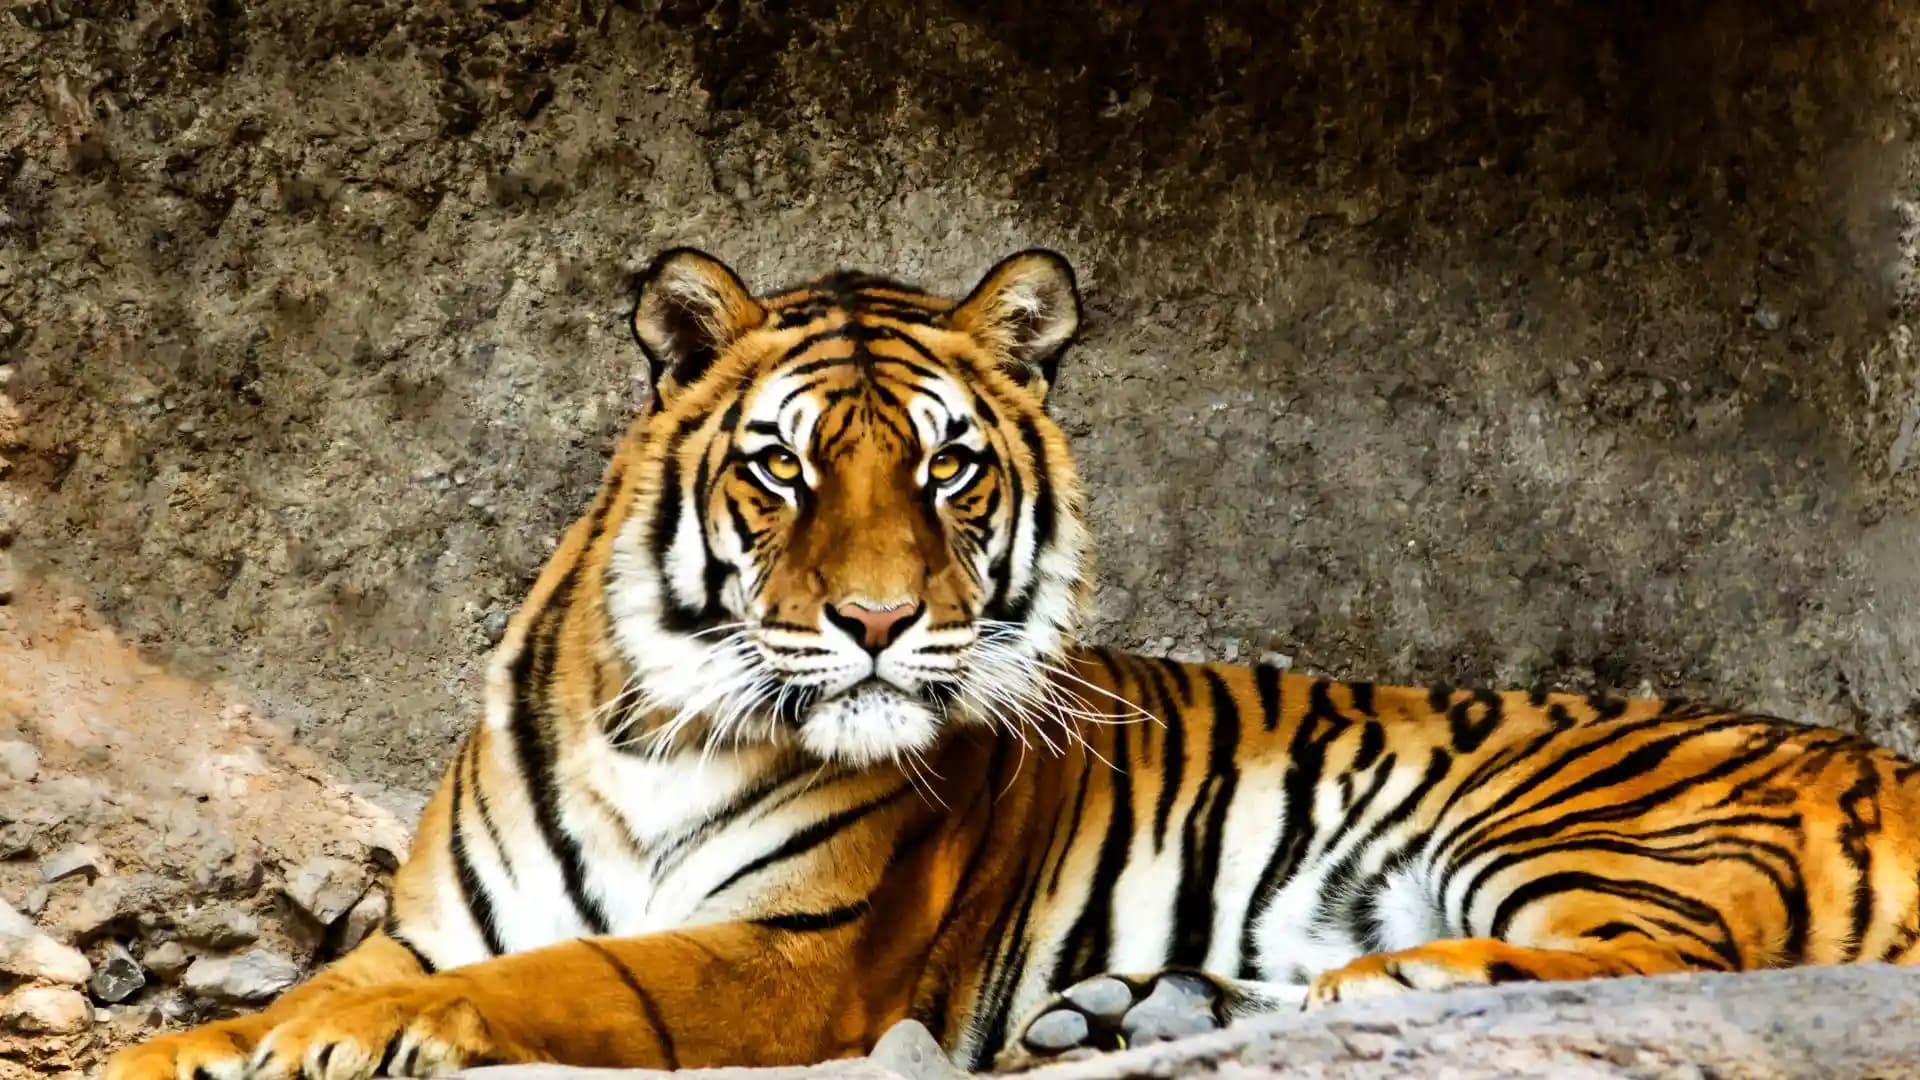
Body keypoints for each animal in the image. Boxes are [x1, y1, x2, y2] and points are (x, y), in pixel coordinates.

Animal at [106, 246, 1920, 1080]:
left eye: (949, 468)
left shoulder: (794, 953)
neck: (654, 713)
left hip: (1596, 829)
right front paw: (186, 1046)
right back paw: (1128, 1009)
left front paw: (350, 1044)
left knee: (1661, 960)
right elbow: (311, 983)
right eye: (782, 467)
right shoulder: (429, 920)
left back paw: (1369, 988)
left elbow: (573, 981)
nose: (878, 622)